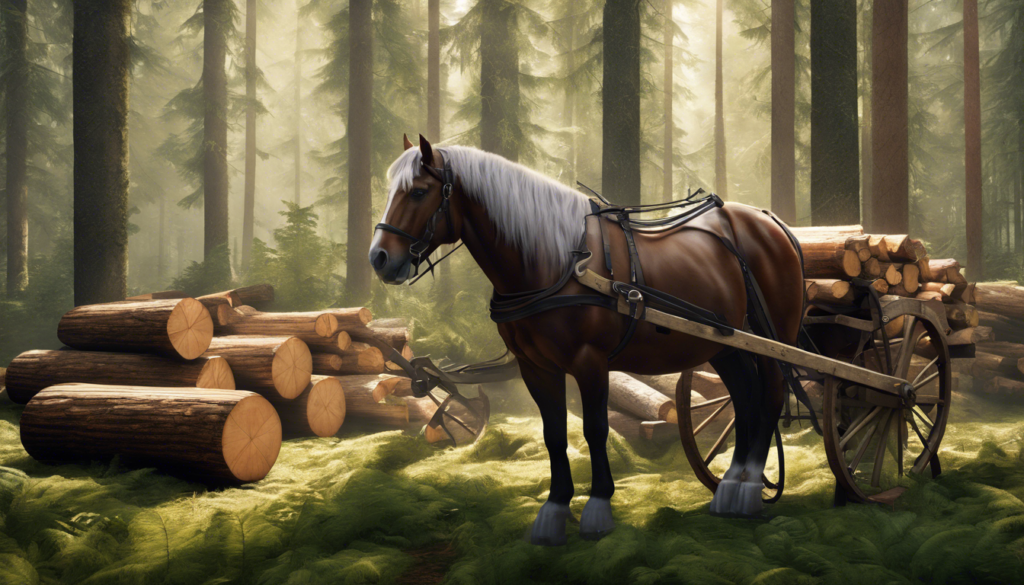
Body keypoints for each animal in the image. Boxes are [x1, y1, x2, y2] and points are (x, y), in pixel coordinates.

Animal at [369, 135, 804, 546]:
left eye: (419, 192)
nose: (379, 258)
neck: (556, 262)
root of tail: (768, 220)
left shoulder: (590, 362)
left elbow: (596, 429)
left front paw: (597, 508)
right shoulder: (536, 367)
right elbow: (553, 434)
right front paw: (554, 512)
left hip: (770, 339)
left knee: (770, 393)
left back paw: (748, 490)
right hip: (724, 345)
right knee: (744, 395)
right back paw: (730, 486)